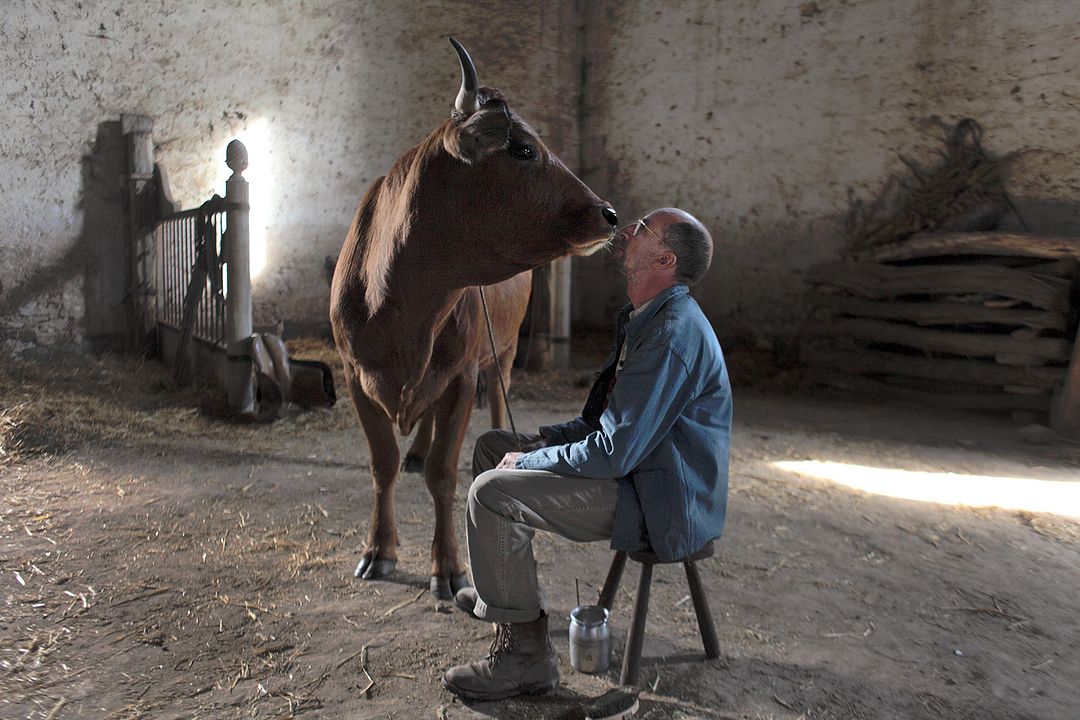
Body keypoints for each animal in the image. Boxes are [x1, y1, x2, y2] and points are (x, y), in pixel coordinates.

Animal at [330, 38, 618, 600]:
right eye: (523, 148)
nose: (609, 214)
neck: (404, 311)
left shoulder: (461, 374)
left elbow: (442, 473)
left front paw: (448, 565)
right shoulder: (355, 374)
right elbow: (382, 464)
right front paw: (378, 549)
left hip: (502, 351)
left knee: (495, 399)